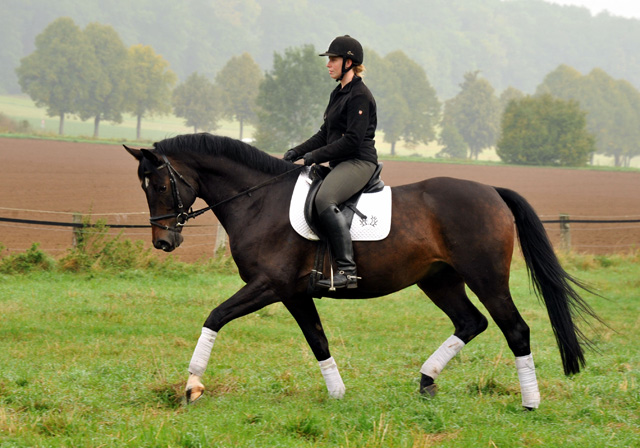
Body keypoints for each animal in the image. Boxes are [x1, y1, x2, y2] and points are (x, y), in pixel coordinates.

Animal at [125, 131, 600, 408]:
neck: (259, 200)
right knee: (471, 322)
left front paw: (191, 386)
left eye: (161, 184)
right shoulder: (294, 293)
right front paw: (338, 394)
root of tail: (492, 191)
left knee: (514, 329)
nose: (164, 242)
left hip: (486, 278)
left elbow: (215, 317)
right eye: (143, 186)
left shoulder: (270, 285)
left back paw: (530, 401)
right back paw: (426, 381)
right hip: (438, 279)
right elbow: (317, 339)